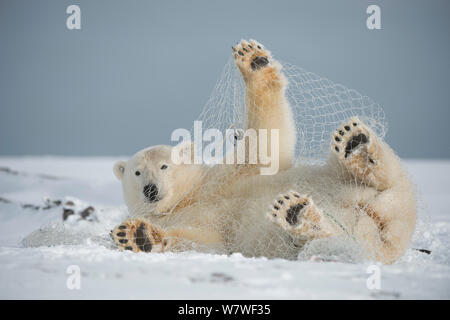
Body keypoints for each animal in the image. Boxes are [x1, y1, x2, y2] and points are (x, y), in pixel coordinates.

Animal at [111, 40, 414, 264]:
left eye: (164, 166)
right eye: (137, 172)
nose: (150, 189)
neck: (186, 199)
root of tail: (385, 235)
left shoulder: (220, 180)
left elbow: (264, 146)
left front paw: (253, 61)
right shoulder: (191, 221)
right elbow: (205, 243)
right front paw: (139, 235)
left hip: (346, 186)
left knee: (385, 181)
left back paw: (355, 147)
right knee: (314, 241)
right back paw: (298, 214)